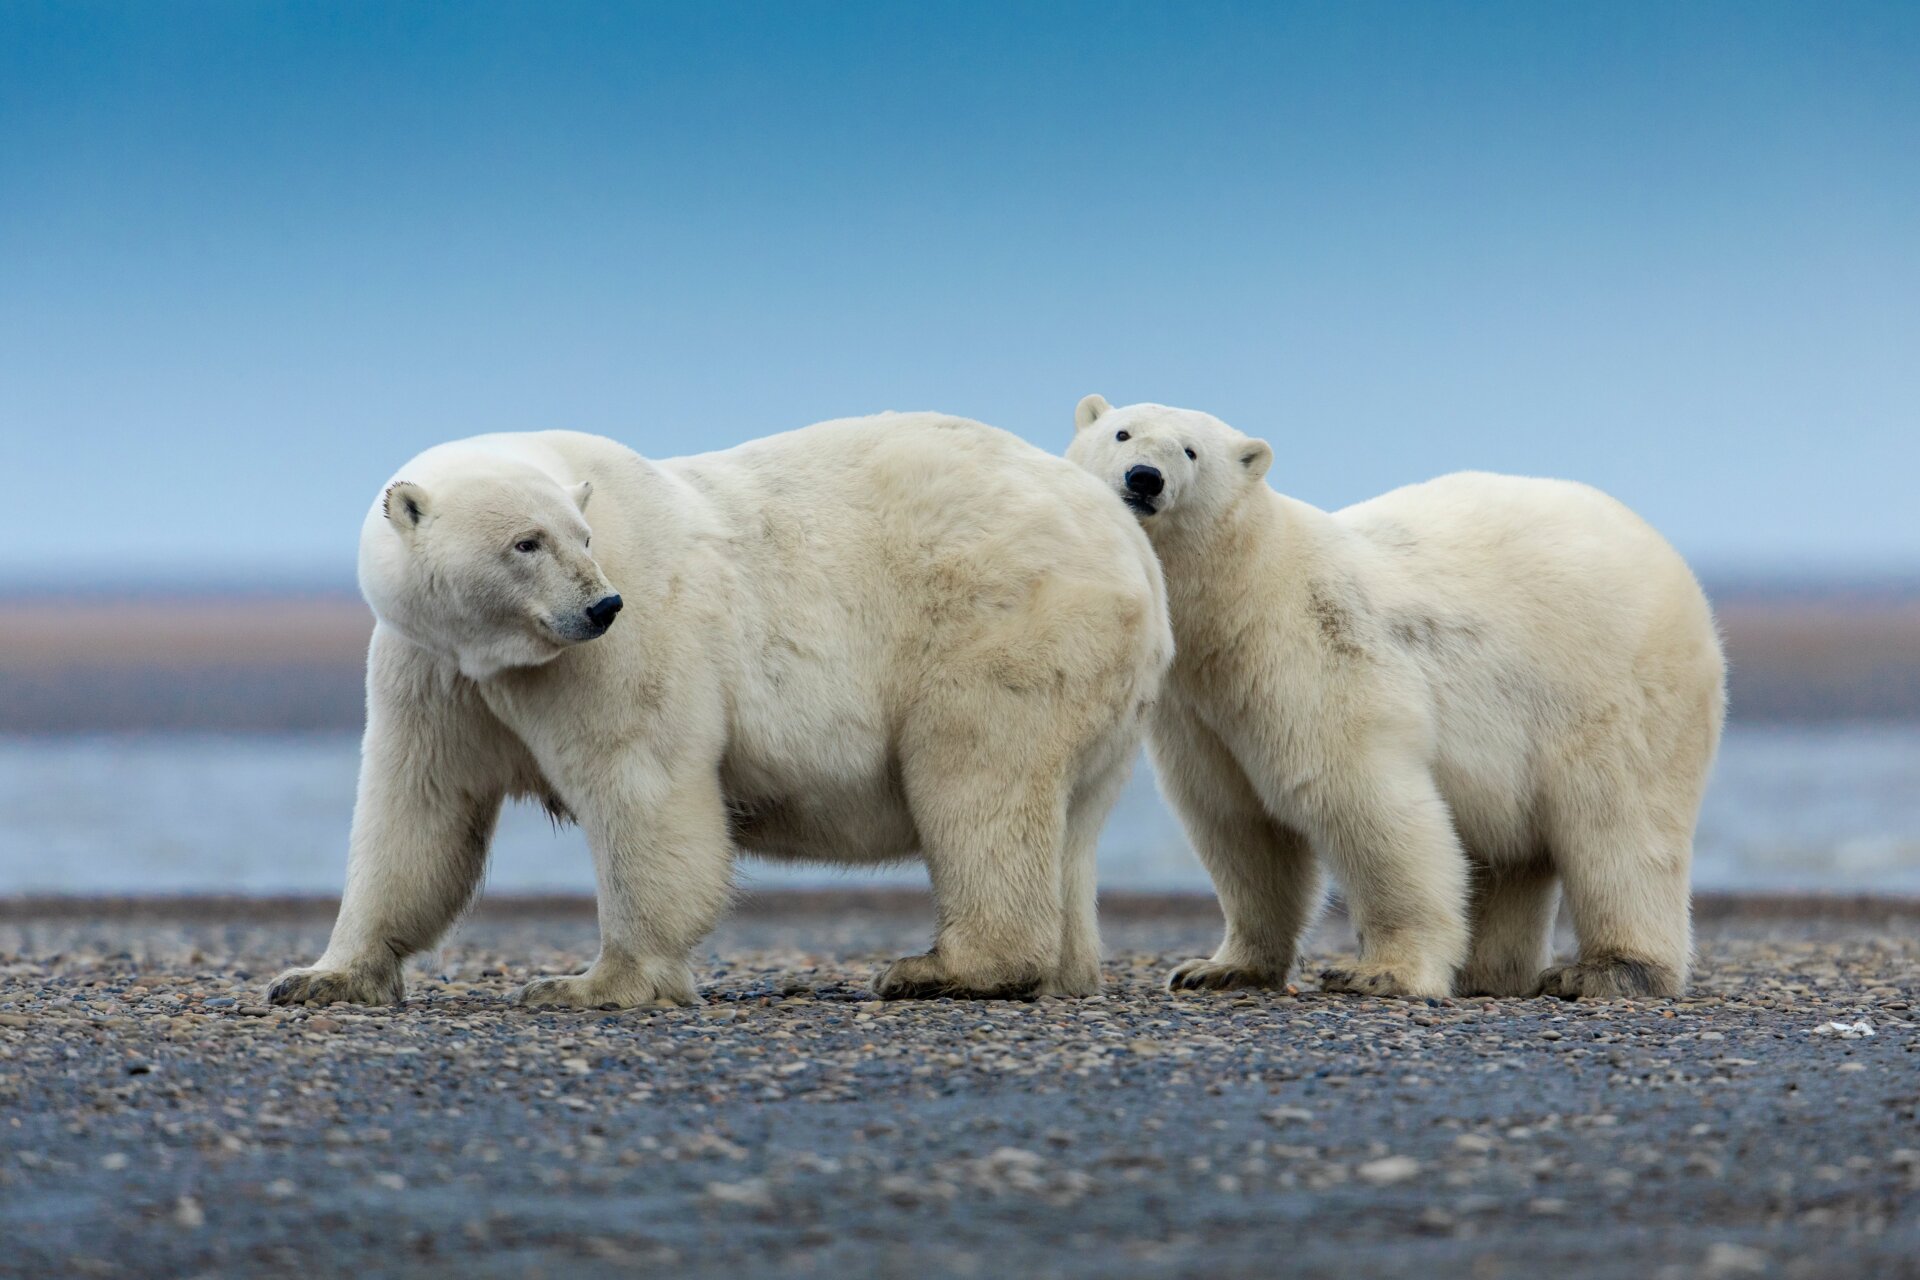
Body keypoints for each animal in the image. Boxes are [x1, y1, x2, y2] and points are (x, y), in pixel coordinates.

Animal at [270, 416, 1167, 1005]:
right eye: (527, 542)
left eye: (583, 536)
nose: (601, 607)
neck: (503, 652)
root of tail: (1127, 544)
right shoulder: (432, 665)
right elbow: (416, 808)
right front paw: (320, 977)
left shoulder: (621, 647)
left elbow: (642, 786)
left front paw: (592, 983)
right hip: (1111, 699)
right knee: (1071, 819)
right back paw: (1064, 969)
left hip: (1002, 623)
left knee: (975, 773)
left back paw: (945, 969)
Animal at [1067, 395, 1728, 997]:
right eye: (1122, 432)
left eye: (1190, 450)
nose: (1144, 478)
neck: (1239, 601)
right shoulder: (1199, 711)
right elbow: (1240, 828)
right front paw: (1218, 968)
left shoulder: (1321, 656)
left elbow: (1368, 806)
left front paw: (1379, 973)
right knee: (1508, 853)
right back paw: (1491, 973)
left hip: (1618, 692)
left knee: (1619, 827)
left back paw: (1606, 970)